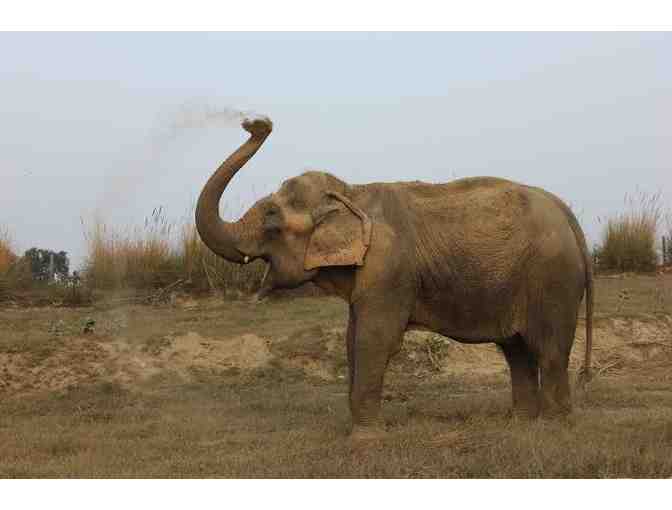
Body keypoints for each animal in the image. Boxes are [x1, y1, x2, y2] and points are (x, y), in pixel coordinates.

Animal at [195, 116, 593, 442]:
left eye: (272, 220)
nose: (256, 123)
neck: (351, 193)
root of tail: (567, 213)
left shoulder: (388, 270)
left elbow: (375, 339)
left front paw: (365, 439)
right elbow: (352, 338)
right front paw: (359, 429)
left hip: (552, 279)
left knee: (548, 348)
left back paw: (553, 427)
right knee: (517, 350)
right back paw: (522, 424)